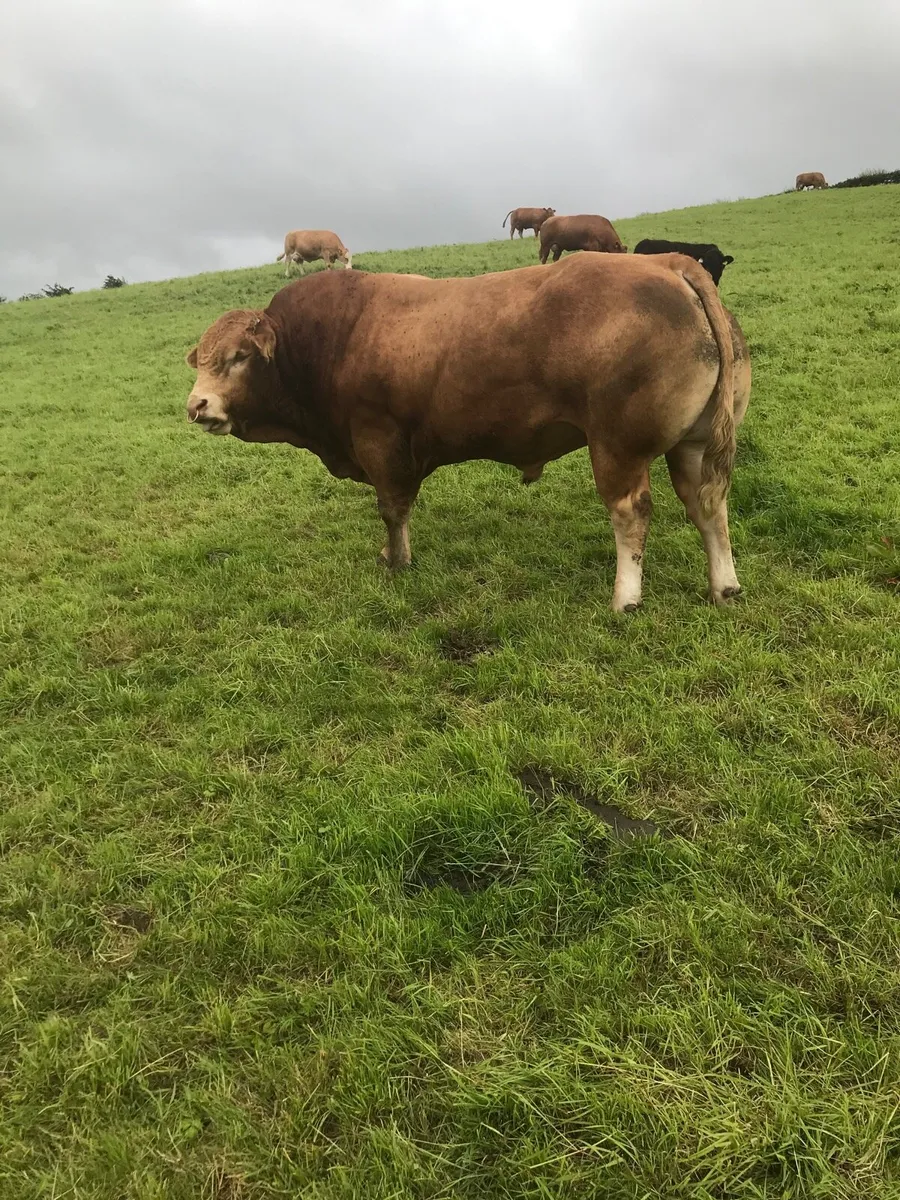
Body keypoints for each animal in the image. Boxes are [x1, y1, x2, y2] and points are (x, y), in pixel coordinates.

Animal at [185, 254, 751, 612]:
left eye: (239, 357)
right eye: (202, 360)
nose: (196, 406)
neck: (332, 340)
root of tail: (666, 263)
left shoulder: (380, 441)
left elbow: (393, 510)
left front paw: (397, 562)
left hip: (617, 446)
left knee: (631, 513)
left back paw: (625, 599)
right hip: (693, 445)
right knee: (708, 505)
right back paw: (723, 587)